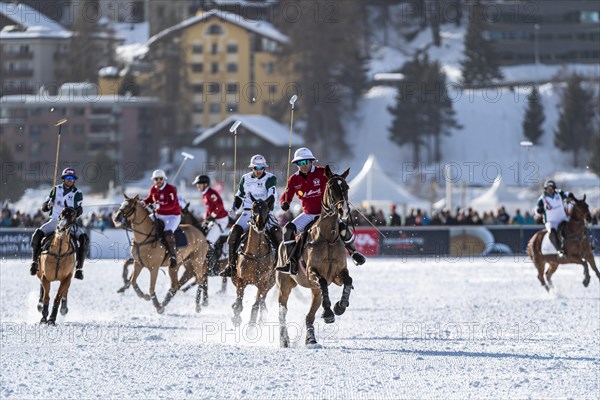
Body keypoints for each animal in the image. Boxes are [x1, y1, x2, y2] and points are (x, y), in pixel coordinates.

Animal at [230, 195, 278, 326]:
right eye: (253, 208)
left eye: (267, 208)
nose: (260, 224)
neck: (256, 254)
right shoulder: (240, 280)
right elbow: (239, 304)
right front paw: (236, 318)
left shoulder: (263, 282)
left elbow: (256, 305)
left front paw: (251, 327)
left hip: (271, 282)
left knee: (262, 300)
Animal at [278, 165, 356, 346]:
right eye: (331, 187)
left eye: (347, 187)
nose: (344, 210)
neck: (327, 237)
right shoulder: (312, 272)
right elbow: (322, 281)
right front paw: (328, 313)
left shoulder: (337, 274)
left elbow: (348, 280)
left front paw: (339, 306)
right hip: (284, 285)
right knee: (282, 311)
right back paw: (284, 340)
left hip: (314, 291)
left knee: (310, 315)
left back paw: (311, 339)